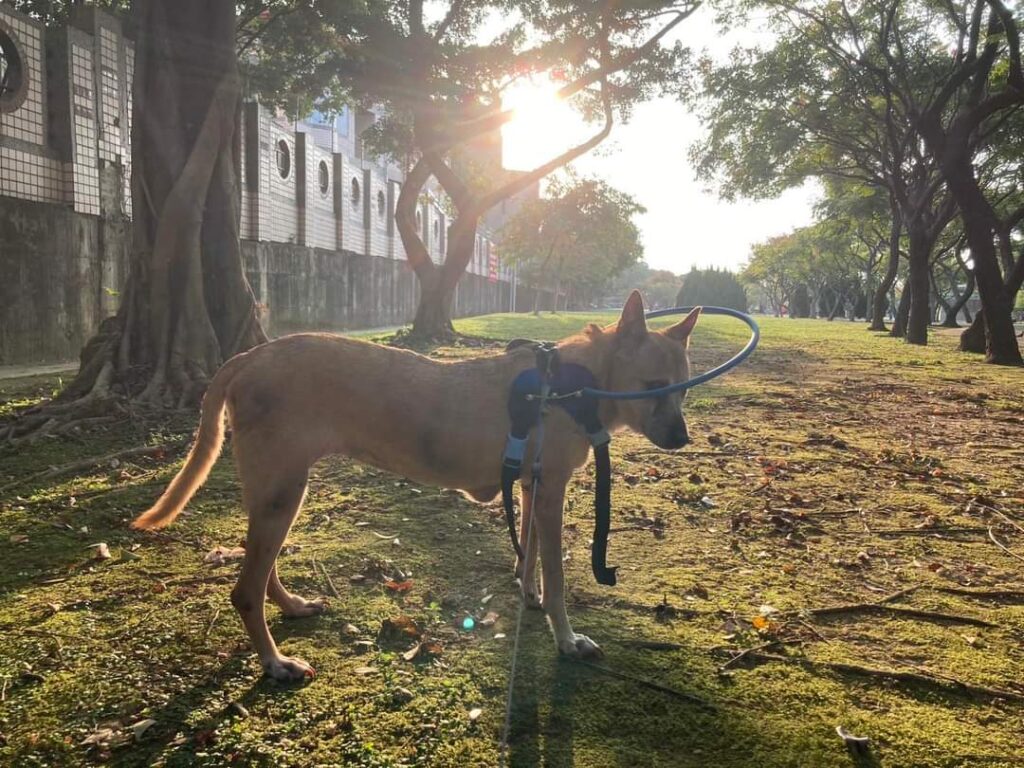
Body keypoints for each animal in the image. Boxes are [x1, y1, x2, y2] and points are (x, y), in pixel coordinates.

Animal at [132, 290, 700, 684]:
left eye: (684, 389)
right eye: (654, 387)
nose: (682, 439)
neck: (576, 381)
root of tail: (250, 357)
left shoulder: (532, 489)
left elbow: (530, 555)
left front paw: (528, 590)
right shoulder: (551, 492)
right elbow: (558, 578)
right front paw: (568, 639)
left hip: (278, 491)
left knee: (261, 568)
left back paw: (291, 606)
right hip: (282, 491)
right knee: (245, 590)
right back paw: (275, 663)